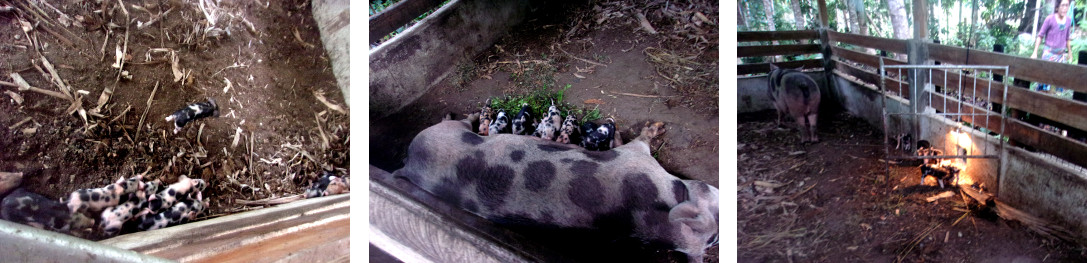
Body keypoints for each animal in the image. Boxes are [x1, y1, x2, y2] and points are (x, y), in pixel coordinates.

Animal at [395, 114, 717, 261]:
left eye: (713, 242)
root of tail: (408, 162)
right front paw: (654, 128)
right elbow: (638, 141)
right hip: (444, 132)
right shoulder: (636, 158)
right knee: (458, 121)